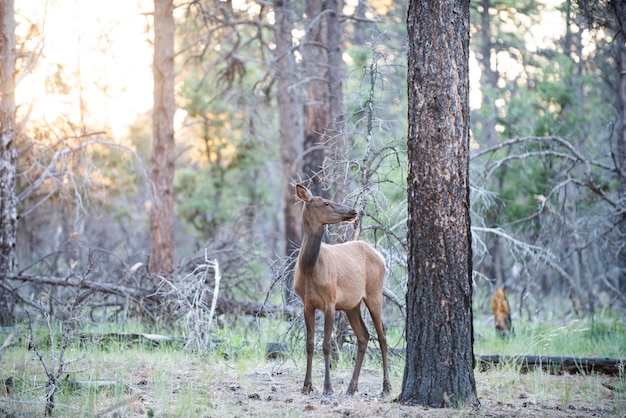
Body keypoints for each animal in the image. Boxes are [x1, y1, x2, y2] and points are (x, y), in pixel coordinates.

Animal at [294, 185, 390, 396]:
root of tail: (381, 256)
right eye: (326, 202)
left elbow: (327, 345)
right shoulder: (307, 304)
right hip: (351, 305)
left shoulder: (330, 301)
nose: (353, 211)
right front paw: (307, 385)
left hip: (374, 293)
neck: (309, 268)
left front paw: (327, 387)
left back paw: (386, 387)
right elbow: (309, 344)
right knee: (364, 336)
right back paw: (352, 387)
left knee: (382, 336)